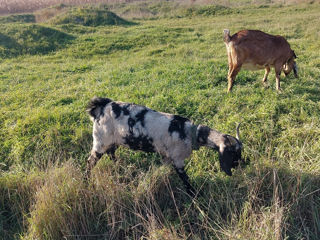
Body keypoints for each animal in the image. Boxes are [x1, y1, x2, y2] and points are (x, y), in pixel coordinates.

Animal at [85, 96, 242, 196]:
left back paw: (121, 168)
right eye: (234, 153)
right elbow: (185, 180)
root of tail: (101, 107)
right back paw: (88, 182)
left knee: (111, 153)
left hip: (112, 141)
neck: (189, 133)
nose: (239, 165)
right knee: (90, 162)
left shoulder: (166, 157)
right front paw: (195, 195)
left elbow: (162, 171)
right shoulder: (177, 159)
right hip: (100, 142)